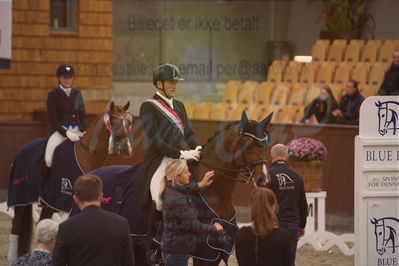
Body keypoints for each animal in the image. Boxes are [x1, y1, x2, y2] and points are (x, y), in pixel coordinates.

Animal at [8, 102, 133, 262]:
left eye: (129, 123)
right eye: (113, 122)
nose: (126, 149)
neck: (87, 156)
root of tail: (23, 148)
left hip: (48, 204)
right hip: (20, 197)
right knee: (15, 225)